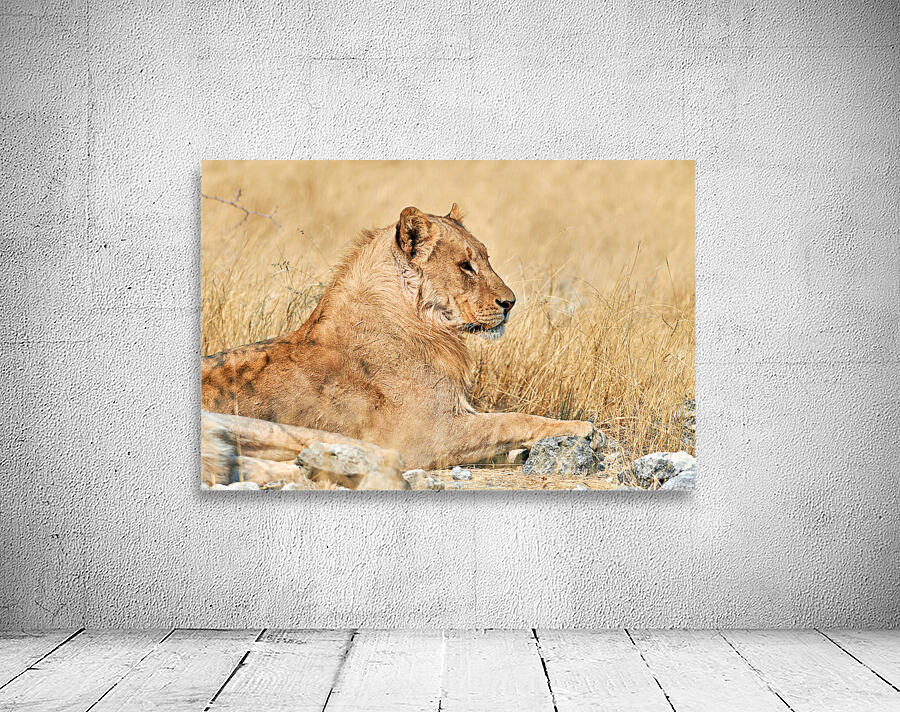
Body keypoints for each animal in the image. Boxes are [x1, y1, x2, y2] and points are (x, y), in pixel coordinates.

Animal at [202, 203, 601, 479]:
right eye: (466, 266)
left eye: (487, 258)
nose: (511, 302)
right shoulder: (429, 435)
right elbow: (510, 420)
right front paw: (583, 430)